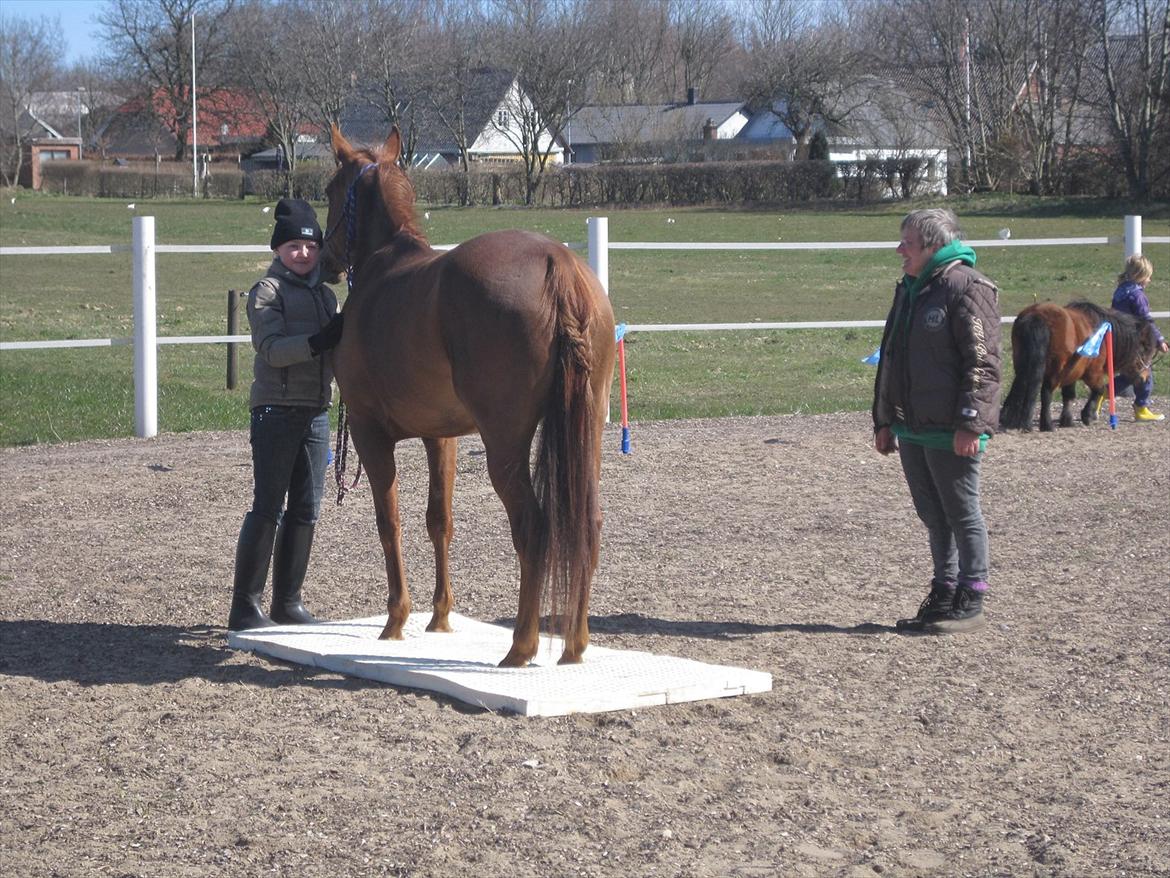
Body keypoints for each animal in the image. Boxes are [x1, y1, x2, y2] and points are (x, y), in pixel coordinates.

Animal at [315, 127, 617, 664]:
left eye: (331, 188)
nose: (326, 258)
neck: (384, 265)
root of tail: (557, 263)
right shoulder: (443, 437)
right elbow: (440, 520)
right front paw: (439, 616)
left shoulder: (371, 433)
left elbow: (389, 520)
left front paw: (396, 619)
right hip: (586, 432)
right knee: (588, 524)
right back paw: (575, 645)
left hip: (505, 445)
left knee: (534, 528)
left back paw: (521, 645)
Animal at [996, 302, 1160, 433]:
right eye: (1145, 349)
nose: (1144, 377)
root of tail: (1038, 316)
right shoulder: (1092, 373)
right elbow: (1100, 389)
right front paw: (1087, 416)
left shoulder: (1071, 373)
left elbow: (1069, 395)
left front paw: (1067, 420)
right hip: (1054, 371)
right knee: (1046, 393)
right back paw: (1046, 425)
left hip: (1023, 364)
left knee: (1021, 385)